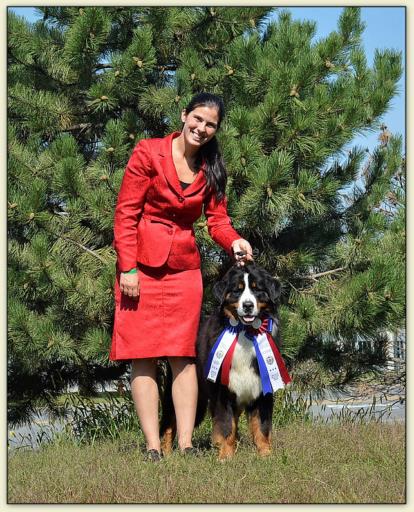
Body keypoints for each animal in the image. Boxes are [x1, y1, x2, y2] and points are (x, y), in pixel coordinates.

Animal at [159, 264, 292, 460]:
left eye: (257, 289)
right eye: (237, 290)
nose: (248, 305)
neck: (245, 333)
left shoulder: (262, 389)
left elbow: (261, 427)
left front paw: (266, 455)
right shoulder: (222, 391)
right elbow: (226, 425)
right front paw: (226, 456)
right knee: (170, 422)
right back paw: (166, 454)